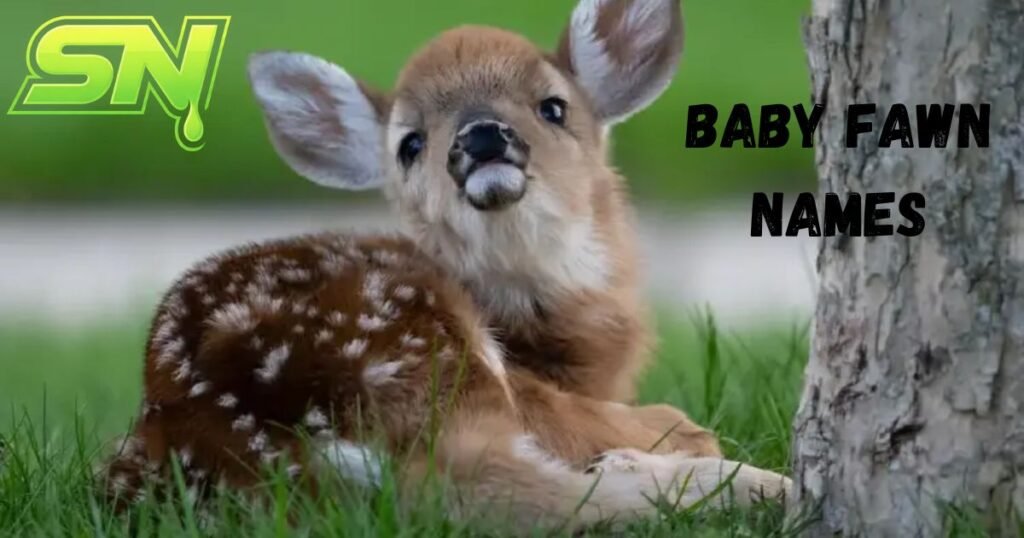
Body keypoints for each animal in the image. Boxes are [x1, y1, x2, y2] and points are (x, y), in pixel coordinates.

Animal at [101, 0, 792, 529]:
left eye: (553, 106)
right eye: (410, 144)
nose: (481, 136)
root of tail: (217, 438)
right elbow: (594, 423)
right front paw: (674, 434)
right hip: (419, 356)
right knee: (510, 498)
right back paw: (764, 486)